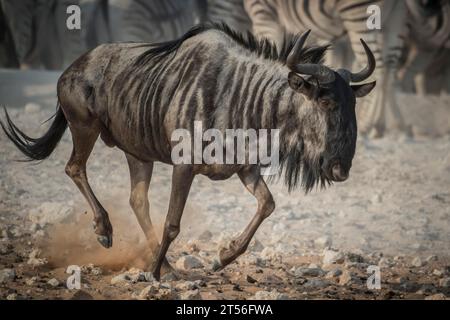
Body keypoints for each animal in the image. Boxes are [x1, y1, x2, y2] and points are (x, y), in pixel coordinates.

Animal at [0, 23, 376, 278]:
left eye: (353, 104)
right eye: (325, 101)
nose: (340, 169)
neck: (242, 95)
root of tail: (71, 68)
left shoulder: (245, 169)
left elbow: (267, 204)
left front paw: (223, 256)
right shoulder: (185, 166)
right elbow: (173, 223)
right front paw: (153, 273)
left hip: (138, 154)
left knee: (137, 201)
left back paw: (162, 260)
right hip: (84, 128)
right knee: (75, 168)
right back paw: (107, 232)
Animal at [243, 0, 412, 136]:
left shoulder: (264, 16)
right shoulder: (335, 39)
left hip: (360, 18)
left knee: (381, 71)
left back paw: (368, 125)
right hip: (396, 20)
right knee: (389, 72)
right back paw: (388, 125)